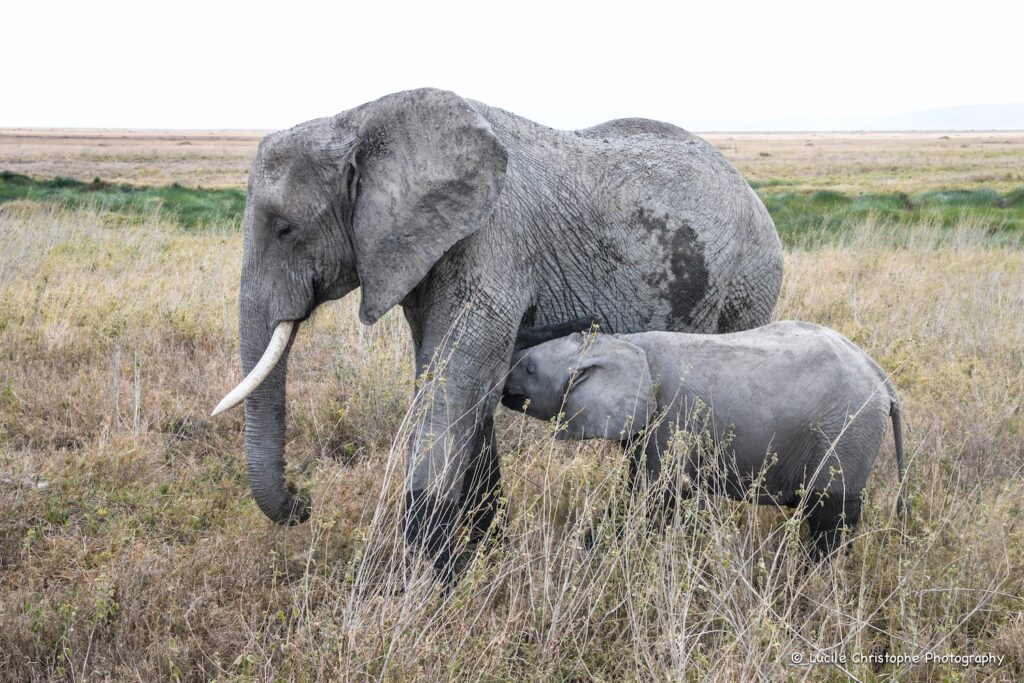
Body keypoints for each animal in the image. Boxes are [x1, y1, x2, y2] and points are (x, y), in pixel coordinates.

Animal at [211, 88, 784, 578]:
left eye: (285, 228)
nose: (303, 500)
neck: (360, 121)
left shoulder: (492, 241)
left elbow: (453, 385)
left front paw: (430, 587)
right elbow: (459, 383)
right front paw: (484, 557)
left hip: (748, 284)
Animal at [501, 321, 906, 559]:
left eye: (529, 368)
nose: (501, 386)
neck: (623, 344)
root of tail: (882, 379)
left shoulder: (667, 420)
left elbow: (650, 496)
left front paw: (585, 553)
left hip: (846, 433)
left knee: (829, 517)